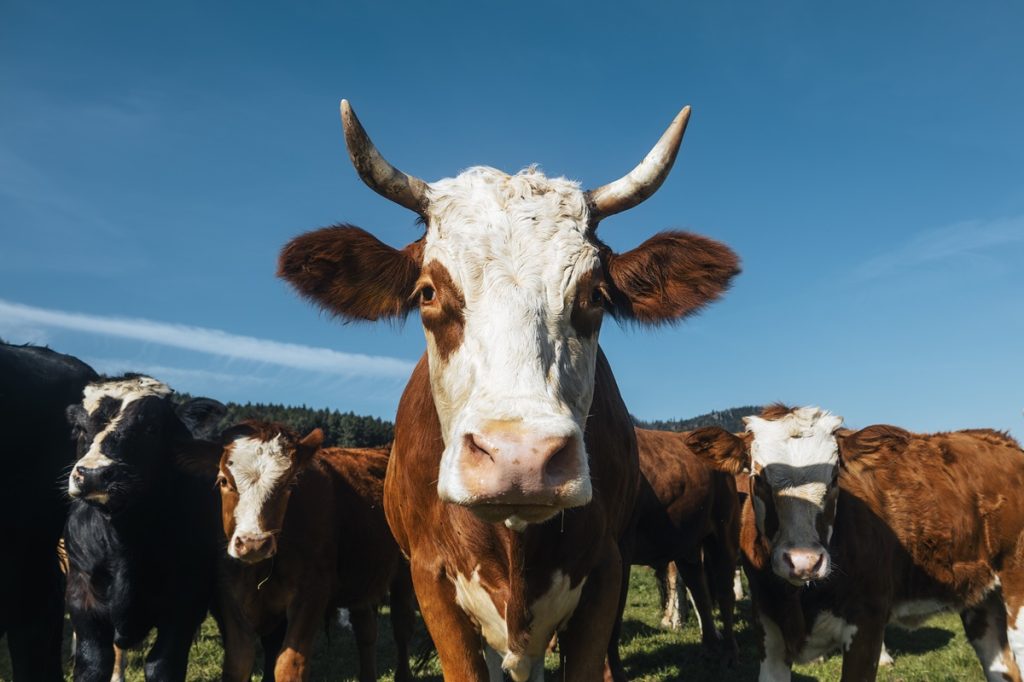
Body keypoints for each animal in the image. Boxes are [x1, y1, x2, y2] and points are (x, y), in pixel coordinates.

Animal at [64, 374, 226, 682]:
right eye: (79, 428)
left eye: (152, 428)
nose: (93, 474)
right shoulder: (83, 596)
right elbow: (93, 663)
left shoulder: (185, 602)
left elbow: (161, 665)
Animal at [201, 420, 414, 682]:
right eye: (223, 481)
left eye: (289, 484)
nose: (253, 543)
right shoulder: (230, 594)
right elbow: (238, 664)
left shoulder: (313, 591)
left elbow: (289, 665)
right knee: (366, 632)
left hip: (404, 574)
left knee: (402, 627)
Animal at [629, 427, 740, 663]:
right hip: (687, 545)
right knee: (699, 590)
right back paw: (710, 645)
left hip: (724, 533)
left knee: (725, 592)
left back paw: (730, 651)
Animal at [686, 404, 1024, 682]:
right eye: (757, 477)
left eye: (835, 477)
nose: (804, 562)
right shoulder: (768, 625)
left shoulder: (867, 624)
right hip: (982, 599)